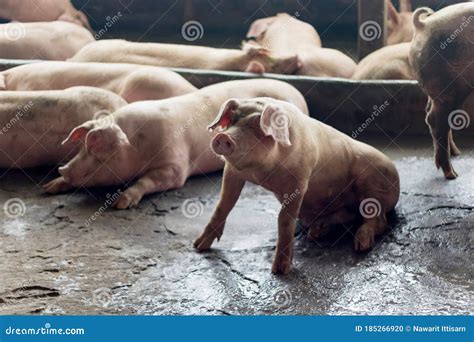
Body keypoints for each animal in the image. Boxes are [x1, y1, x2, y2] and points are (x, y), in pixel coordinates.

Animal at [44, 80, 310, 208]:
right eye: (82, 147)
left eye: (98, 148)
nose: (63, 168)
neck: (136, 144)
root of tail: (297, 94)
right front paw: (49, 187)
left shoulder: (175, 167)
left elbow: (147, 181)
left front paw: (121, 203)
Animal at [195, 97, 400, 274]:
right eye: (232, 121)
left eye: (256, 125)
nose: (223, 136)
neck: (262, 172)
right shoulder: (232, 172)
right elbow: (223, 204)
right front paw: (199, 247)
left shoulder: (299, 181)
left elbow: (284, 219)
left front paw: (279, 271)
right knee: (350, 215)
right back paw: (316, 232)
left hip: (372, 184)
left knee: (378, 220)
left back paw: (360, 245)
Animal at [410, 2, 472, 179]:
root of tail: (423, 25)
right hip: (449, 87)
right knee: (436, 120)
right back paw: (452, 174)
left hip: (437, 91)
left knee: (431, 113)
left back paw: (456, 154)